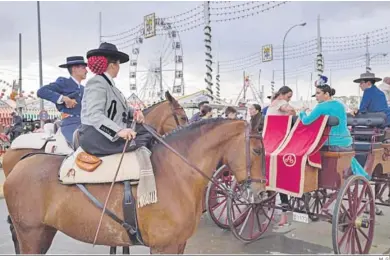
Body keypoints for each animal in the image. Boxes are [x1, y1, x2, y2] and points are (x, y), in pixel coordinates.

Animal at [3, 119, 266, 255]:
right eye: (257, 150)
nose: (262, 192)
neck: (174, 174)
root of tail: (20, 163)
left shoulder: (178, 245)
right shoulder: (164, 247)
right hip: (31, 235)